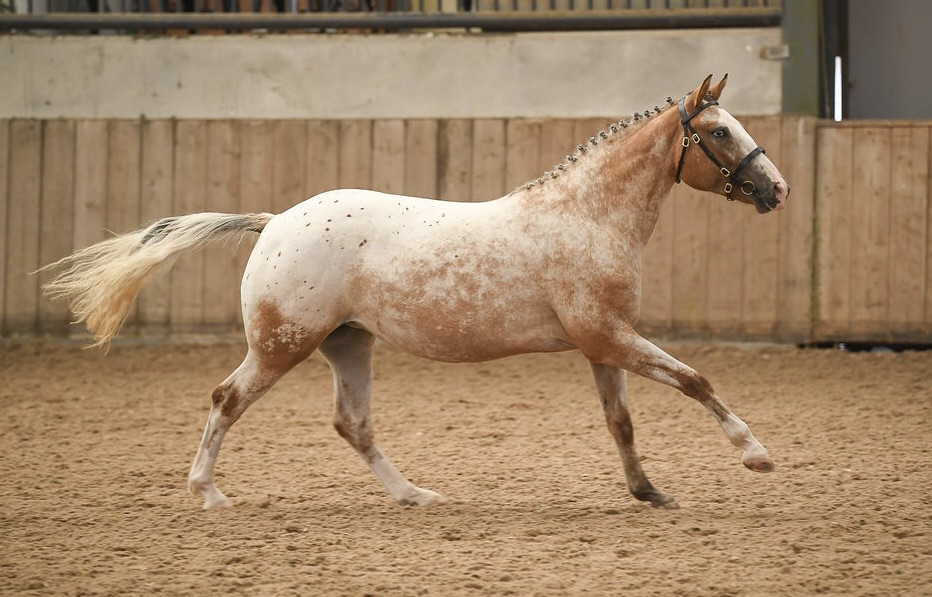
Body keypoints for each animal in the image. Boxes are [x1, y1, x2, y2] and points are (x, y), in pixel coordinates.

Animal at [40, 74, 789, 511]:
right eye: (719, 131)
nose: (776, 189)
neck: (587, 215)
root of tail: (274, 221)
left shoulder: (604, 344)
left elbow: (622, 422)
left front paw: (648, 492)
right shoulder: (610, 338)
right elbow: (695, 380)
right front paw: (755, 455)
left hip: (347, 344)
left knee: (353, 423)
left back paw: (416, 495)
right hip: (283, 345)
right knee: (227, 398)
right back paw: (209, 493)